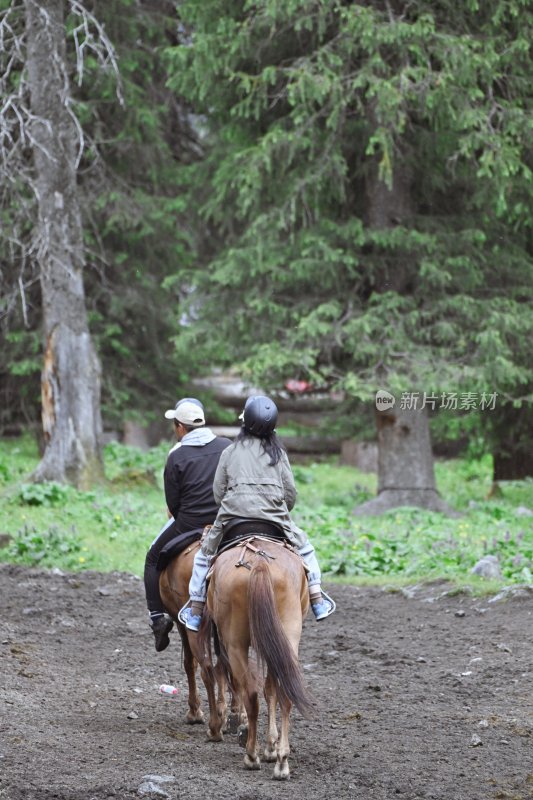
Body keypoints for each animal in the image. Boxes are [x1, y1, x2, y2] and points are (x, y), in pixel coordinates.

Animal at [202, 536, 314, 780]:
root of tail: (260, 562)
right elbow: (270, 690)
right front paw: (271, 747)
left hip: (236, 644)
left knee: (250, 694)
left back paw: (252, 756)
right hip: (287, 639)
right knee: (284, 693)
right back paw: (282, 761)